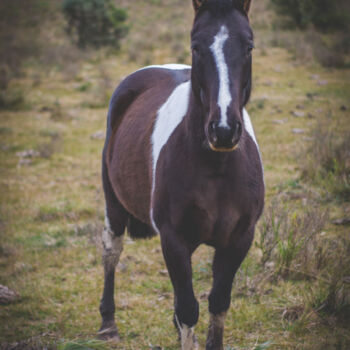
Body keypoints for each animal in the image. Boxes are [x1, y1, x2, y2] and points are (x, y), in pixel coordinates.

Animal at [97, 0, 264, 350]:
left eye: (249, 46)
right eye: (196, 46)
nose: (223, 130)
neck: (216, 167)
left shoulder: (239, 239)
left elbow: (218, 303)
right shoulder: (173, 238)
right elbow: (188, 309)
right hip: (114, 205)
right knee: (111, 251)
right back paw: (107, 323)